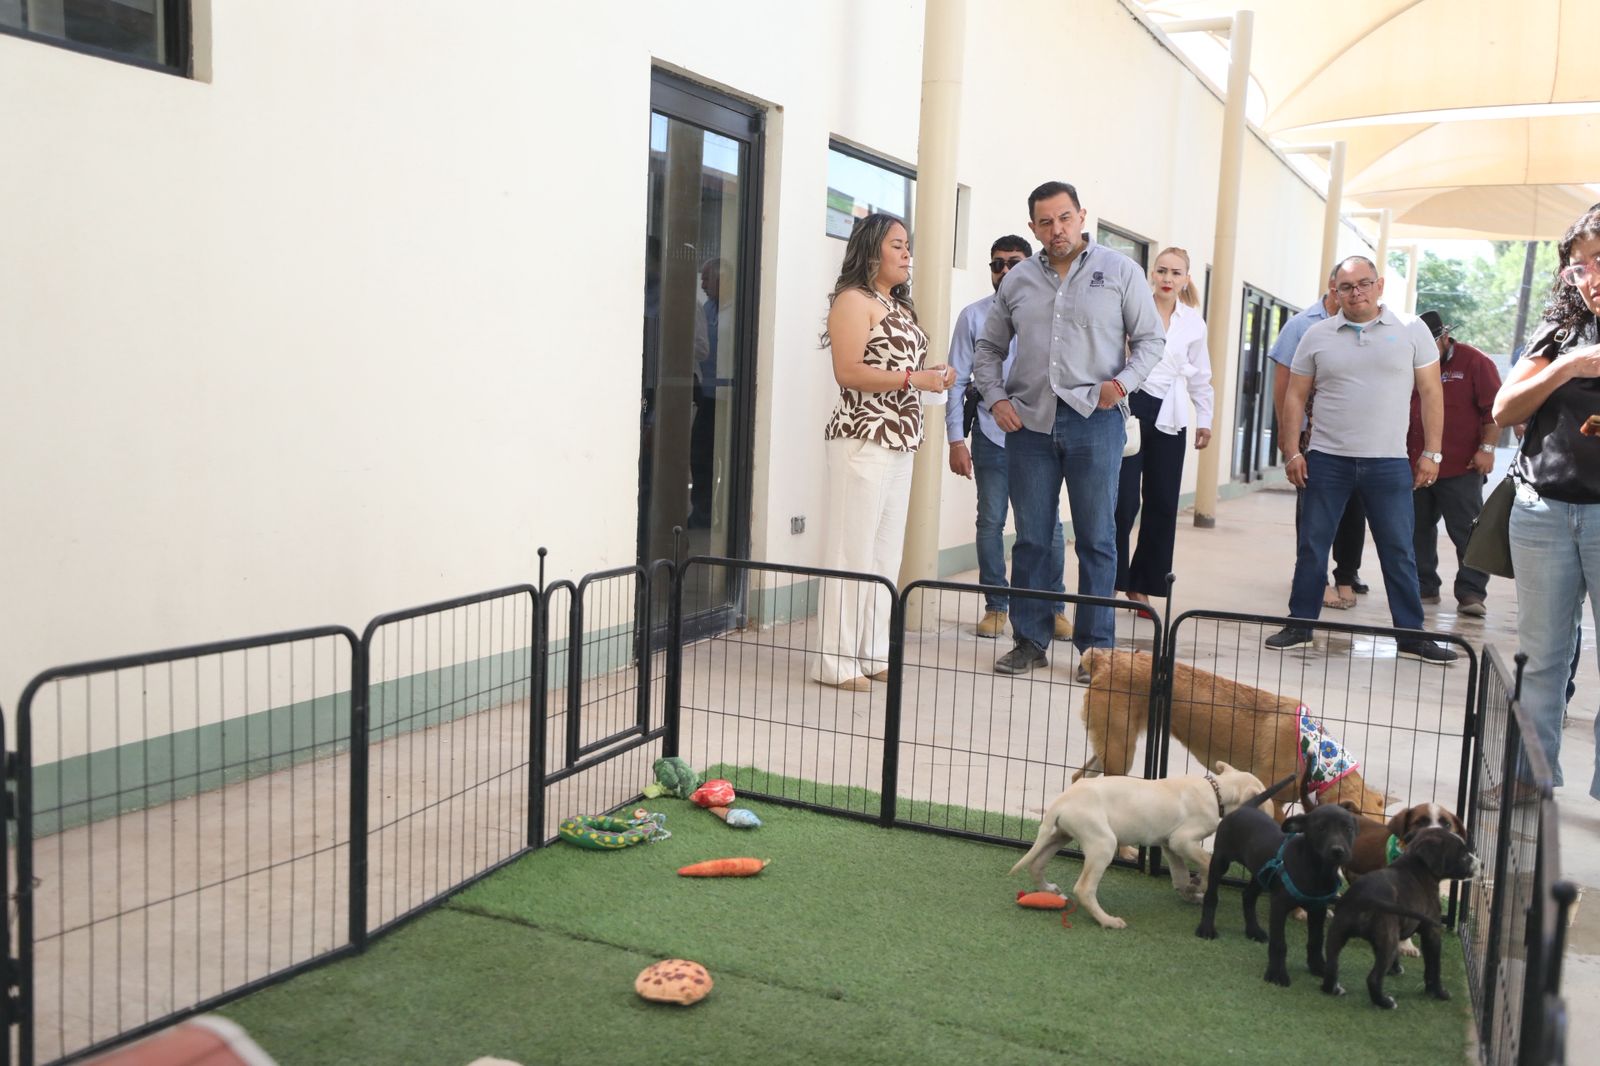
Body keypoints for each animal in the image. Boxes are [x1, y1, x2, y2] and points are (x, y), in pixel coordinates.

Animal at [1008, 761, 1272, 929]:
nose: (1275, 823)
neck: (1217, 791)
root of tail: (1060, 802)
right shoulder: (1182, 840)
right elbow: (1207, 862)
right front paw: (1202, 885)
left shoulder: (1169, 844)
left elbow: (1180, 874)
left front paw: (1190, 891)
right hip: (1103, 842)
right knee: (1083, 888)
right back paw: (1107, 921)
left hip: (1060, 835)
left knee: (1037, 864)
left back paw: (1049, 889)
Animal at [1075, 649, 1393, 821]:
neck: (1315, 752)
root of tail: (1104, 658)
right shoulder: (1271, 799)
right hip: (1120, 750)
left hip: (1110, 746)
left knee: (1079, 778)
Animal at [1195, 781, 1358, 987]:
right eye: (1321, 828)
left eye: (1348, 829)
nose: (1338, 851)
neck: (1317, 870)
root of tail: (1246, 807)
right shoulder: (1279, 905)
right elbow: (1279, 944)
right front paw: (1277, 974)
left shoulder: (1318, 908)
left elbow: (1316, 940)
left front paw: (1318, 967)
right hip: (1220, 860)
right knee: (1212, 896)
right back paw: (1207, 929)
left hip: (1261, 873)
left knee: (1248, 896)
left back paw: (1254, 931)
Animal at [1322, 827, 1479, 1008]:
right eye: (1463, 855)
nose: (1481, 864)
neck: (1418, 865)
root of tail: (1362, 899)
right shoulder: (1431, 932)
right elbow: (1433, 967)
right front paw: (1438, 992)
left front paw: (1396, 970)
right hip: (1387, 939)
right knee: (1373, 978)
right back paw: (1385, 1002)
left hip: (1337, 933)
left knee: (1331, 965)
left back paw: (1333, 989)